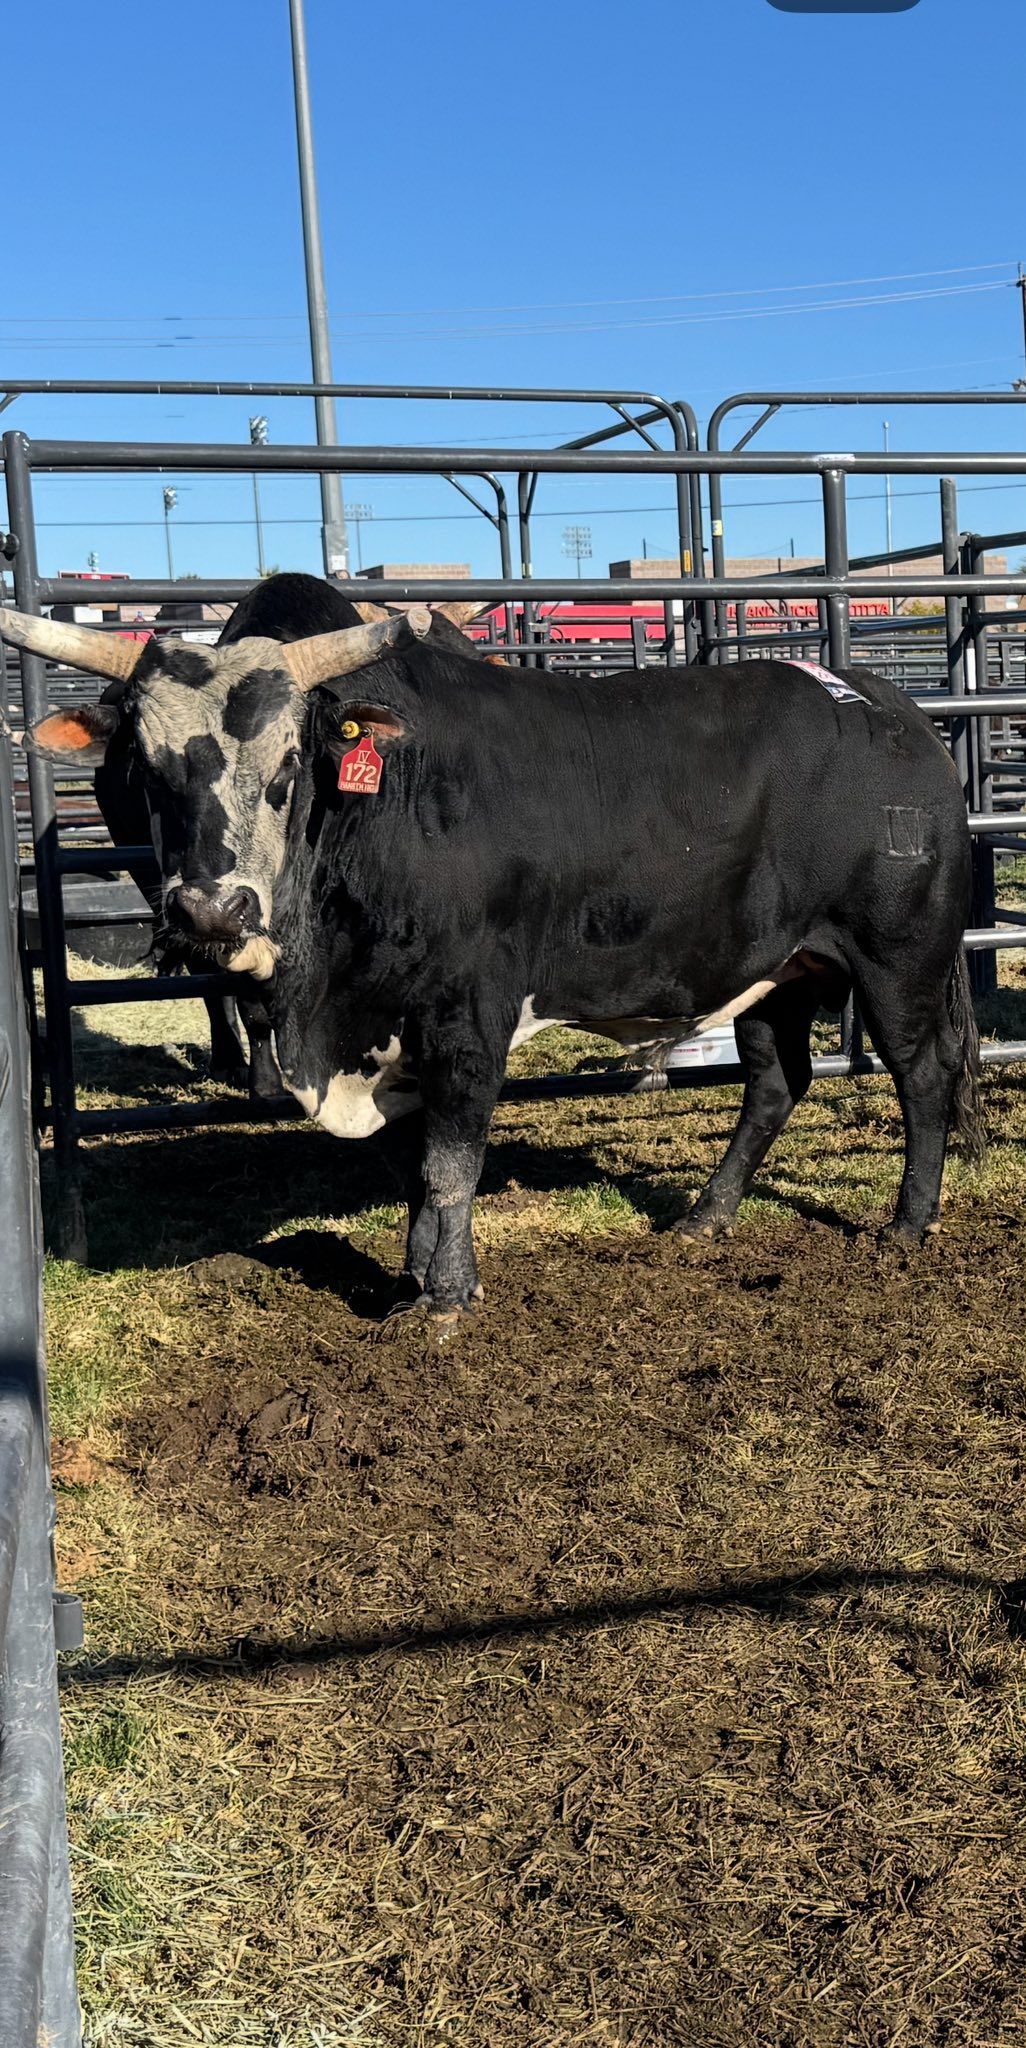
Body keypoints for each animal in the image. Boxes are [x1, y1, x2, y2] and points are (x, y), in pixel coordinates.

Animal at [2, 573, 983, 1324]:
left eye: (286, 767)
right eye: (147, 770)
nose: (212, 910)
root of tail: (894, 713)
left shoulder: (469, 1015)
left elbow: (451, 1160)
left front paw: (448, 1295)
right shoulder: (391, 1030)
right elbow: (414, 1165)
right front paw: (409, 1276)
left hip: (899, 958)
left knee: (923, 1074)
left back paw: (907, 1222)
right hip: (775, 970)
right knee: (776, 1083)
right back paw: (708, 1215)